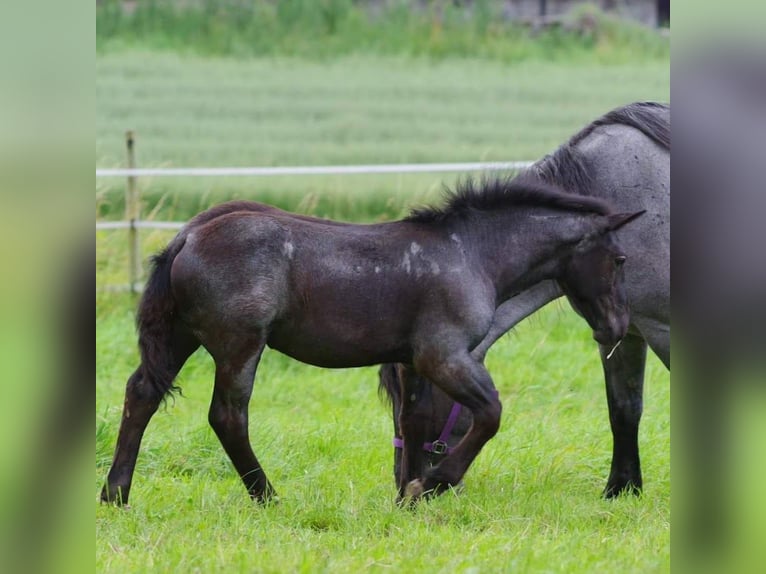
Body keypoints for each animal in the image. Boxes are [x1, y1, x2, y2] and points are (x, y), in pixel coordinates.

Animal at [100, 177, 640, 508]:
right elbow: (490, 415)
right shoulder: (444, 357)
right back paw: (268, 497)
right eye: (618, 260)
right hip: (239, 346)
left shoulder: (412, 363)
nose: (617, 327)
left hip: (179, 338)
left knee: (141, 395)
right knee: (227, 416)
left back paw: (116, 494)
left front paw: (405, 500)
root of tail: (186, 237)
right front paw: (430, 486)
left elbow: (414, 425)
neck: (472, 253)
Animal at [380, 102, 668, 500]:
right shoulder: (623, 331)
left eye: (417, 391)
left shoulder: (662, 328)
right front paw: (620, 491)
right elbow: (624, 408)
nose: (403, 480)